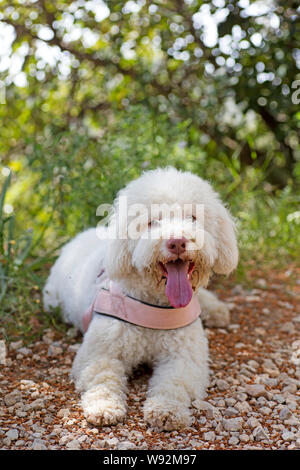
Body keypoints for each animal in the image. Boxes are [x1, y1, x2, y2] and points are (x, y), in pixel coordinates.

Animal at [43, 167, 238, 432]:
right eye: (151, 222)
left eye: (192, 218)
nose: (177, 242)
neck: (154, 306)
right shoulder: (99, 353)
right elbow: (102, 379)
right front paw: (104, 407)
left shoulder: (184, 358)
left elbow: (174, 384)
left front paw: (167, 410)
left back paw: (216, 310)